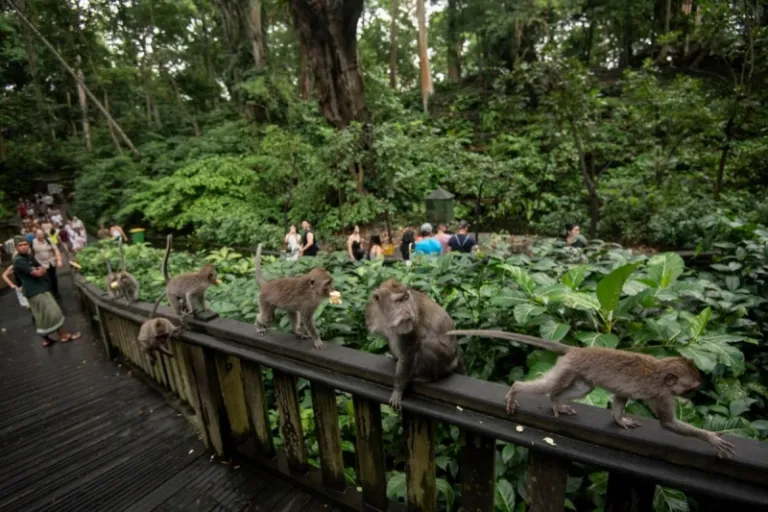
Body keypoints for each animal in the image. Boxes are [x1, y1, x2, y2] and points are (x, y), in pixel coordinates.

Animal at [366, 279, 466, 411]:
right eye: (398, 301)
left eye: (406, 298)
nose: (408, 311)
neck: (386, 317)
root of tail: (456, 355)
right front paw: (394, 357)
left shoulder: (413, 325)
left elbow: (409, 353)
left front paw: (398, 390)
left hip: (446, 360)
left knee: (425, 345)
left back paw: (426, 377)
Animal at [447, 329, 736, 459]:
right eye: (692, 387)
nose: (694, 397)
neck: (660, 370)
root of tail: (578, 350)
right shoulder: (661, 395)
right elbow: (669, 424)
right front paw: (711, 438)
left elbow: (620, 399)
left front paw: (620, 420)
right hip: (567, 368)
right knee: (547, 387)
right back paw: (518, 390)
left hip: (576, 372)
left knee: (584, 389)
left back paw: (557, 403)